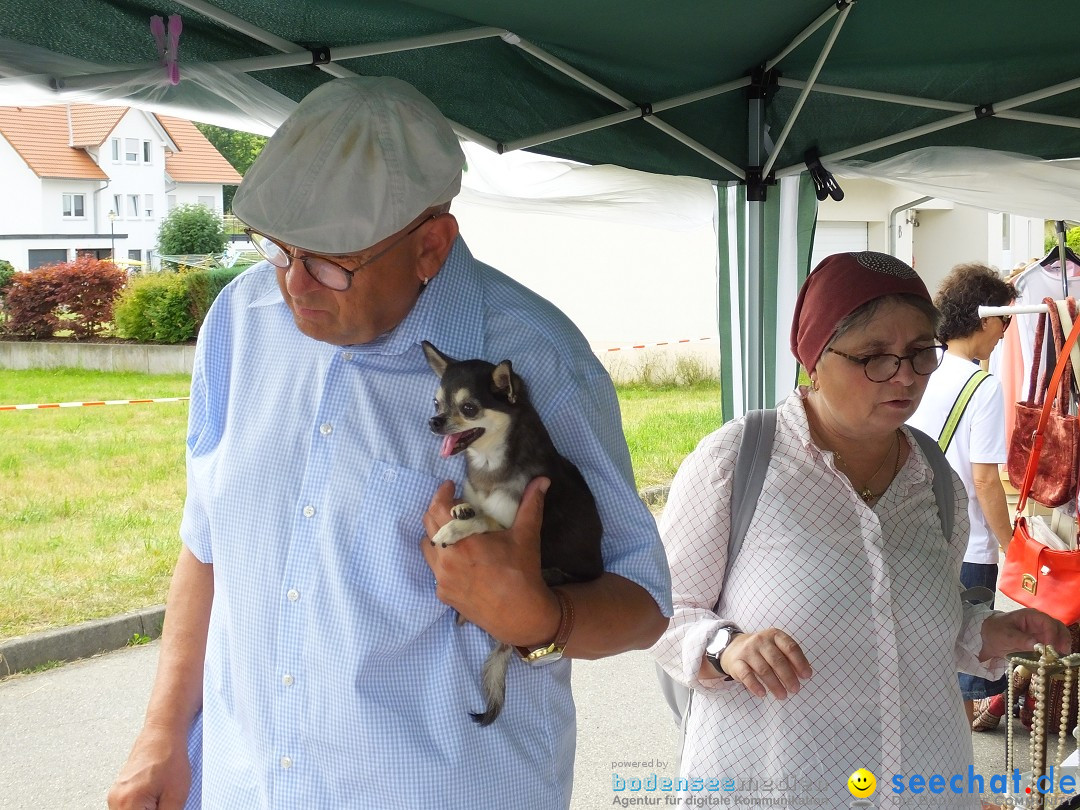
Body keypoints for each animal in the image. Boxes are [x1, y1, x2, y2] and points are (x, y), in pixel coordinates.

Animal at [421, 343, 604, 730]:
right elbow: (472, 506)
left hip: (555, 574)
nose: (433, 421)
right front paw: (461, 508)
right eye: (436, 404)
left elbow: (485, 521)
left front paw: (454, 527)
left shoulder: (508, 527)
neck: (488, 463)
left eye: (469, 408)